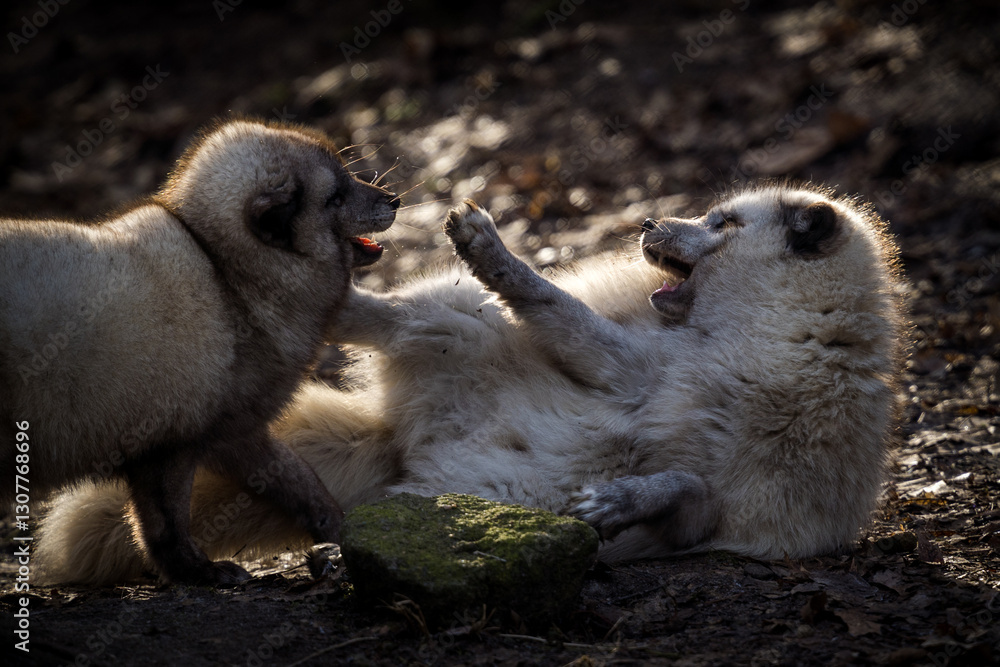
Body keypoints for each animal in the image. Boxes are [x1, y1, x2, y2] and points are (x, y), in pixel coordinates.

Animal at [35, 183, 906, 584]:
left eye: (723, 223)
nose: (647, 224)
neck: (775, 349)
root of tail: (403, 452)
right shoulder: (628, 365)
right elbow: (549, 300)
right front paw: (495, 251)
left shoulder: (719, 521)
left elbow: (684, 484)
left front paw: (621, 497)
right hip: (455, 319)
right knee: (379, 314)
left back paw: (339, 554)